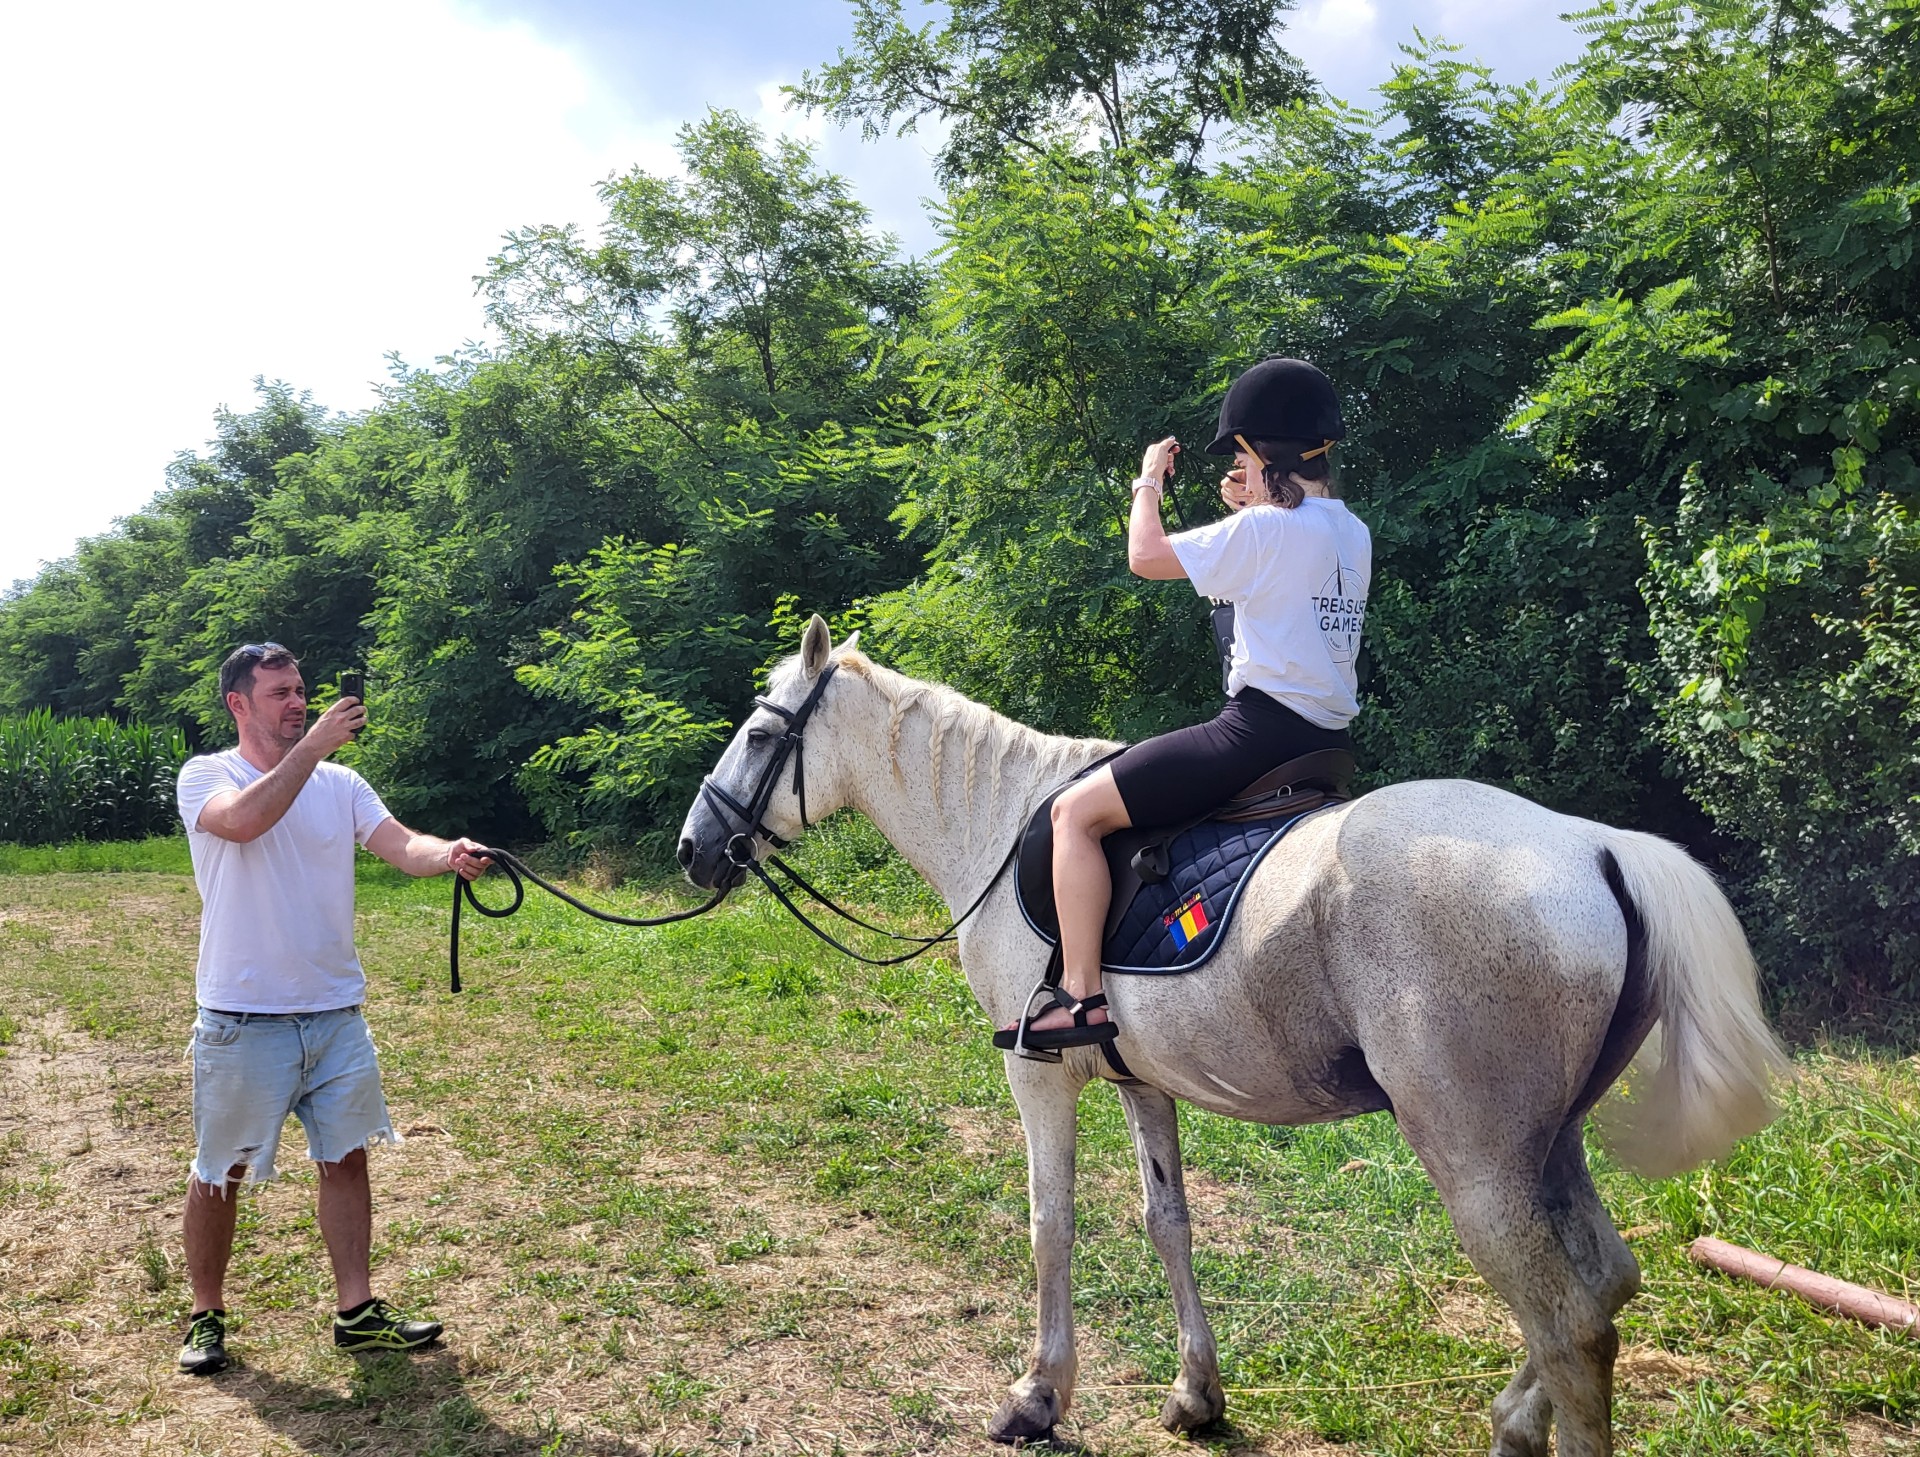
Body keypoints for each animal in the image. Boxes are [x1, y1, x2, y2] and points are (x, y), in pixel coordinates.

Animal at [675, 618, 1781, 1457]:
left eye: (761, 731)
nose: (693, 848)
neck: (999, 825)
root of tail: (1596, 847)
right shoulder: (1140, 1080)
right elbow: (1168, 1221)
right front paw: (1196, 1393)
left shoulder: (1038, 1072)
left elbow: (1050, 1224)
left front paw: (1039, 1395)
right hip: (1549, 1144)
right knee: (1605, 1284)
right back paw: (1513, 1417)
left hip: (1478, 1161)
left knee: (1572, 1324)